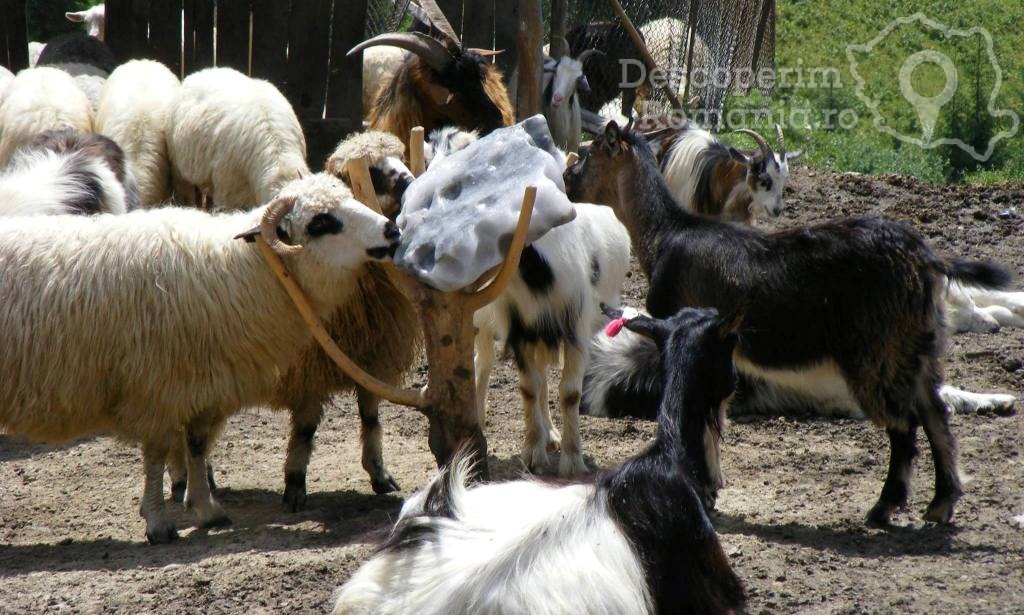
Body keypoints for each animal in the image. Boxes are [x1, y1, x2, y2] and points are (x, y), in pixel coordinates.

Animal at [0, 172, 399, 540]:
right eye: (321, 222)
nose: (392, 229)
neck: (235, 272)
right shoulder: (156, 387)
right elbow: (157, 454)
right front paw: (159, 523)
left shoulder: (204, 383)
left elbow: (196, 444)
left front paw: (205, 509)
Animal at [565, 122, 1011, 523]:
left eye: (589, 155)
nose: (568, 183)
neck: (666, 233)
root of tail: (923, 257)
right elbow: (716, 412)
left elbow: (702, 409)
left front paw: (705, 489)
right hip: (915, 344)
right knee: (935, 414)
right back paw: (940, 504)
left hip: (875, 351)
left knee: (904, 423)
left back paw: (884, 508)